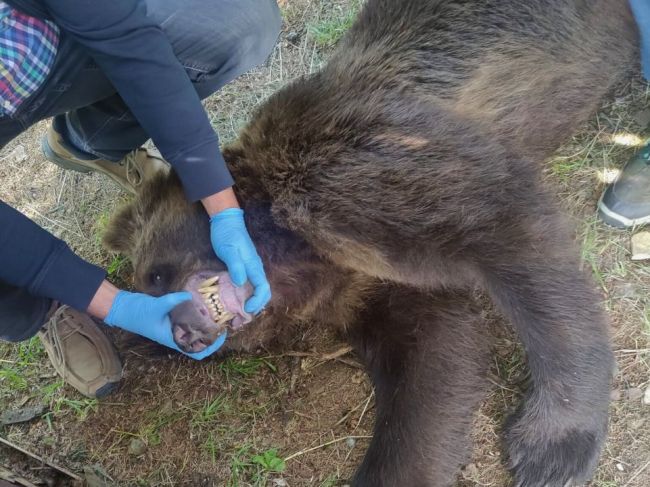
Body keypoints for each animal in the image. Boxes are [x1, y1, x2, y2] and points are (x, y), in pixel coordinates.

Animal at [104, 0, 636, 487]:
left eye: (155, 272)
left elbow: (524, 257)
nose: (182, 334)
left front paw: (552, 449)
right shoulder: (368, 292)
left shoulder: (364, 173)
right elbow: (433, 366)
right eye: (152, 295)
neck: (302, 257)